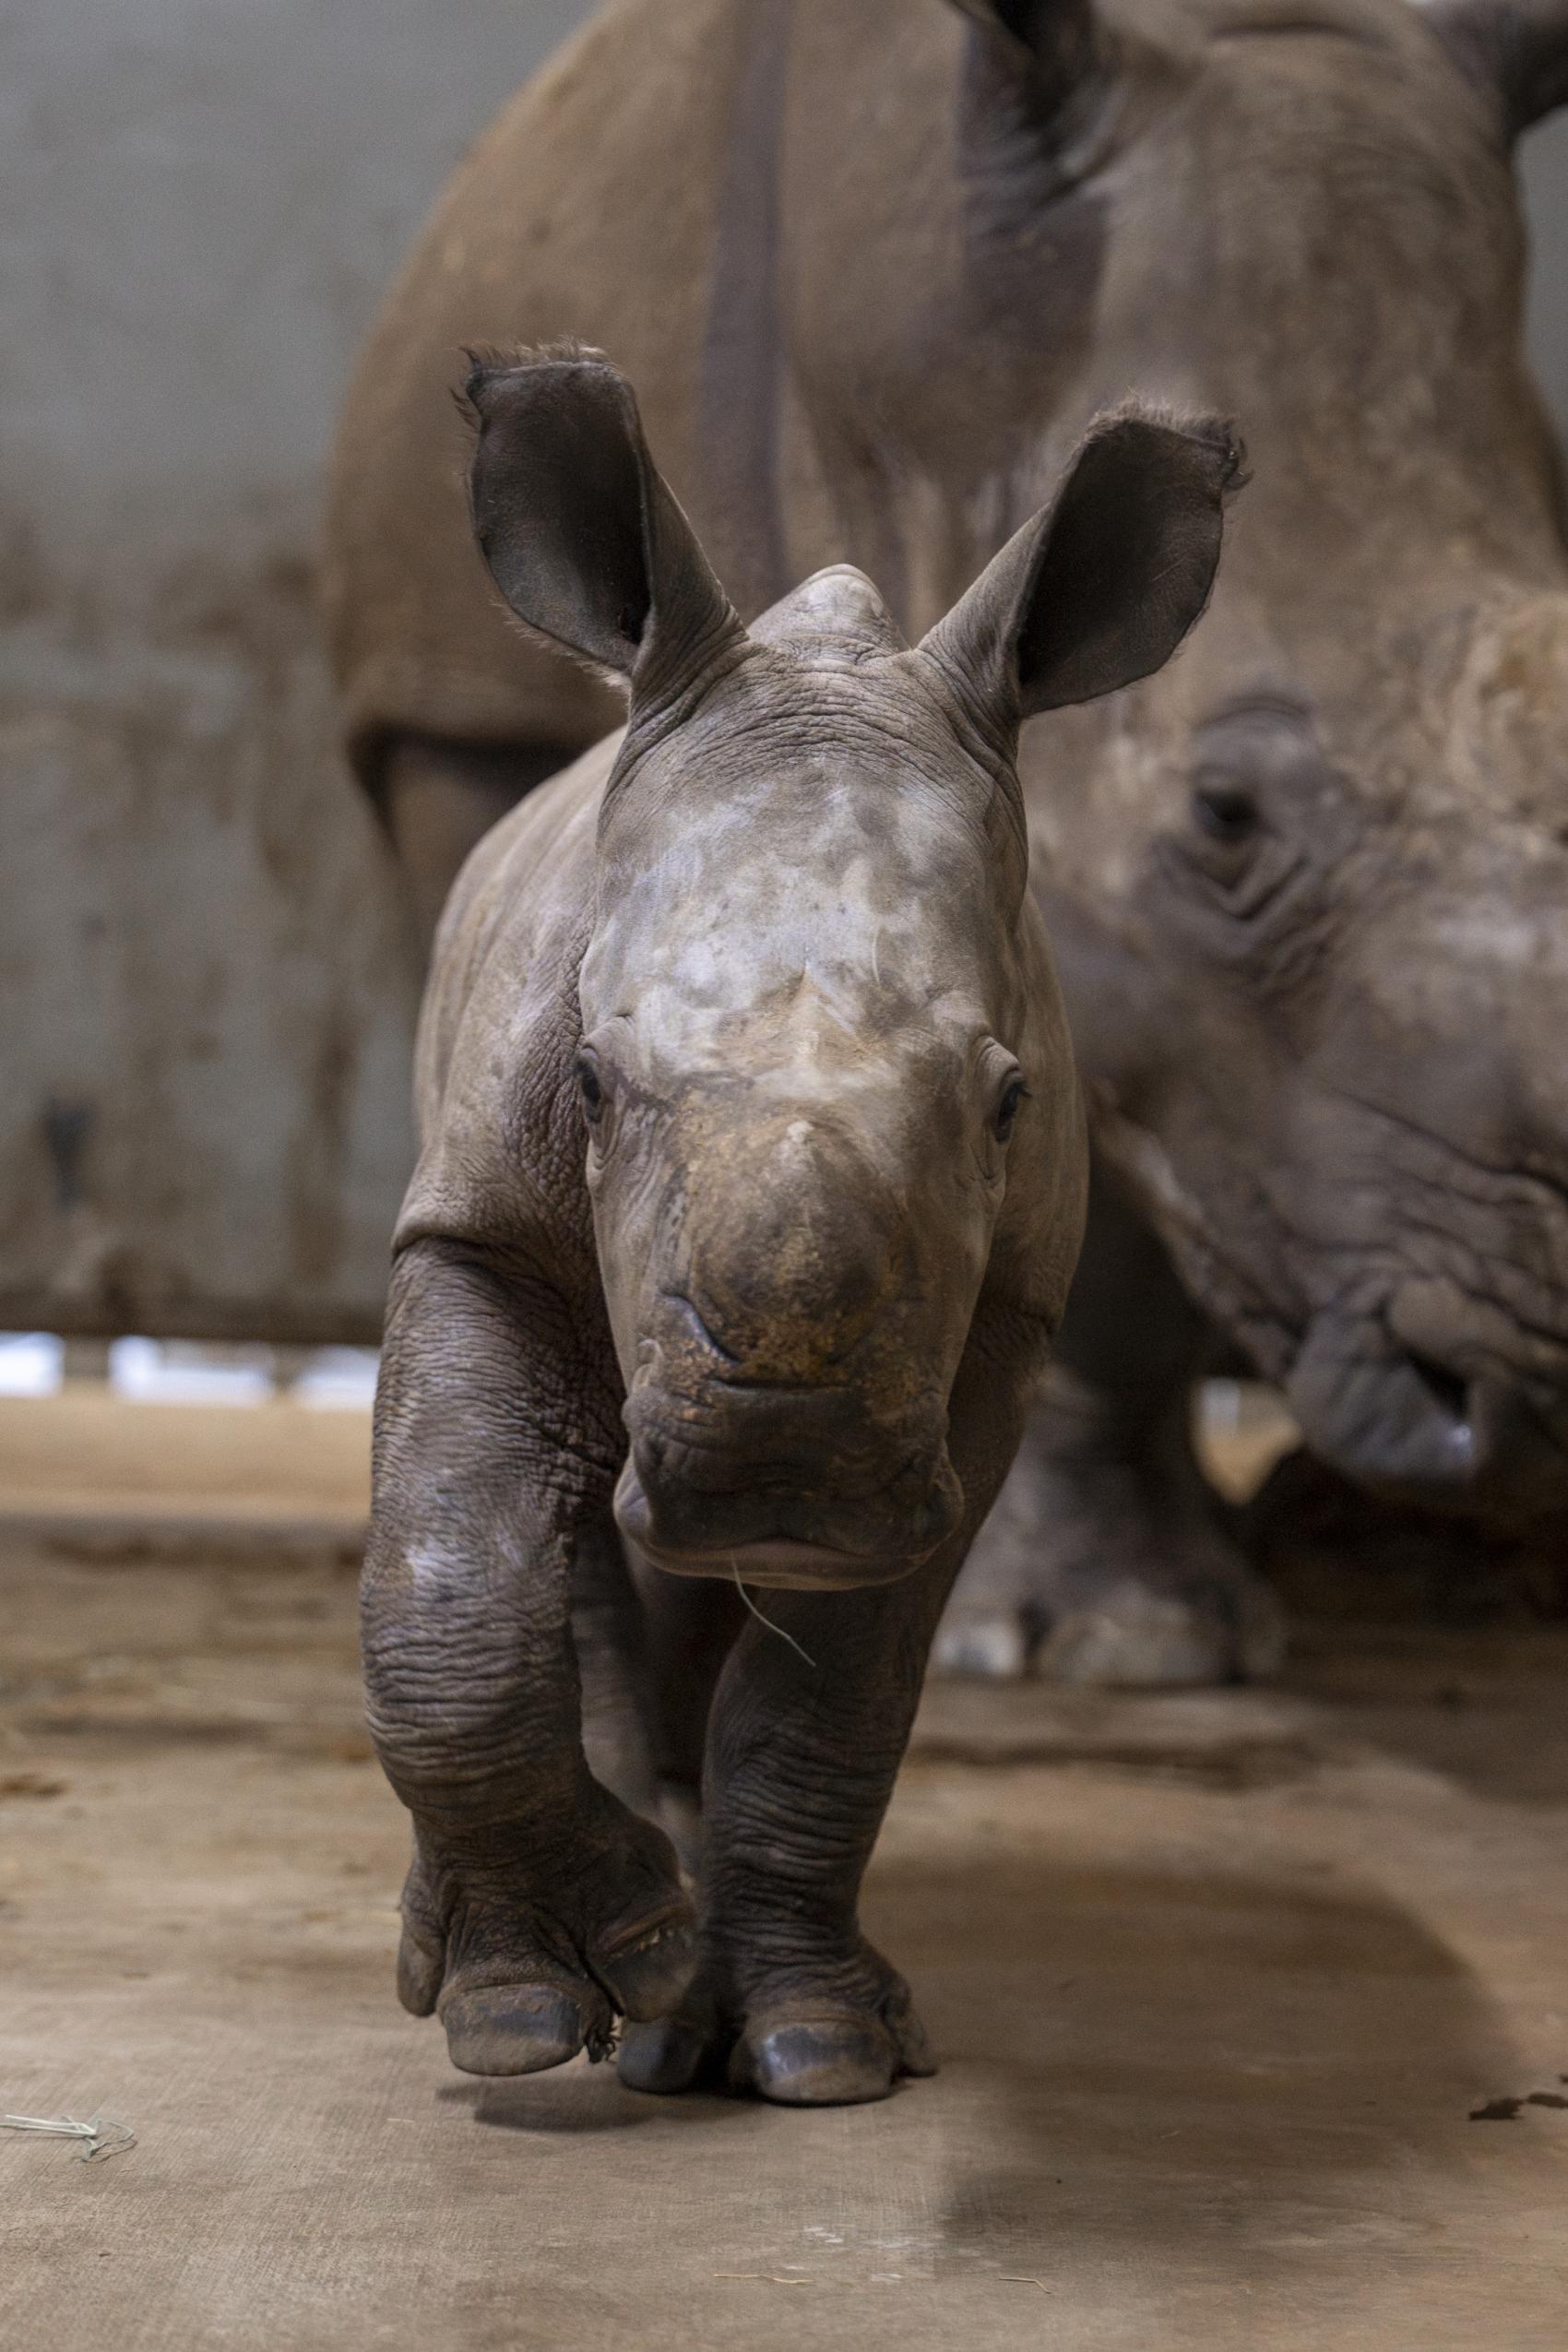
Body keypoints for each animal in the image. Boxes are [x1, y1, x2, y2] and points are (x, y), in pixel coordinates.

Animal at [364, 346, 1236, 2100]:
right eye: (587, 1080)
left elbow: (844, 1686)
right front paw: (524, 2008)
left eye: (1009, 1103)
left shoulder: (996, 1323)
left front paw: (818, 2044)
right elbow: (448, 1568)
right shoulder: (476, 1222)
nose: (783, 1467)